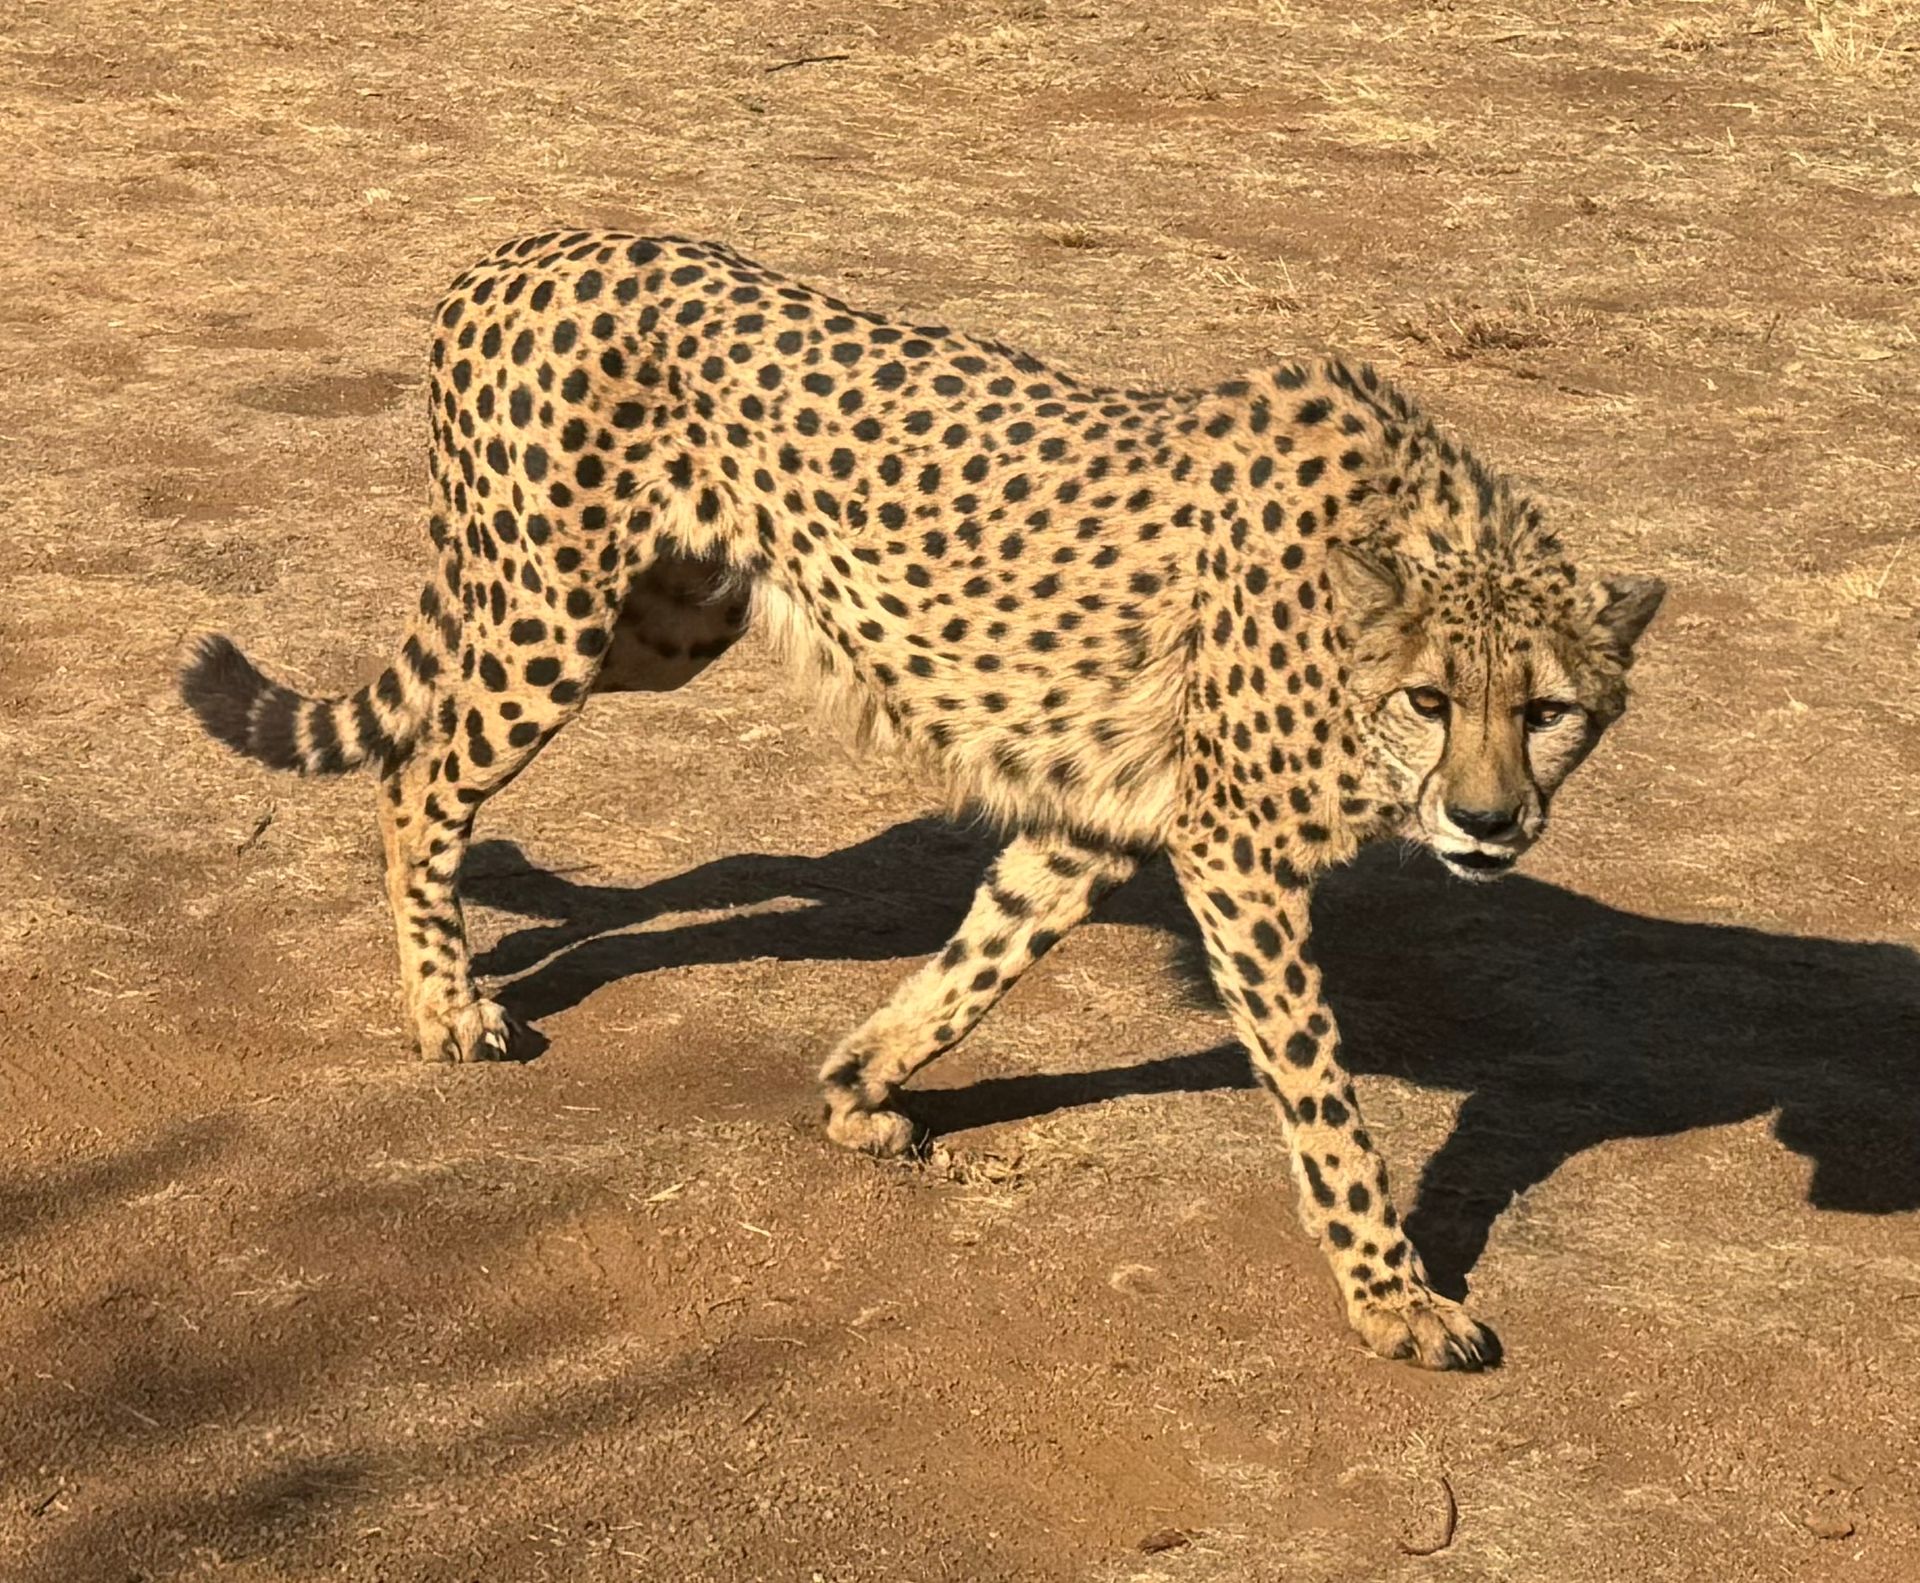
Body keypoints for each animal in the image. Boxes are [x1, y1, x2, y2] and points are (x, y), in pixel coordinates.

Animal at [181, 229, 1665, 1371]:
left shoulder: (1095, 816)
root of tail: (523, 249)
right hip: (554, 617)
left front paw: (859, 1083)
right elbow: (1321, 1095)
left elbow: (979, 960)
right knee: (420, 769)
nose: (1489, 823)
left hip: (660, 624)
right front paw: (1396, 1297)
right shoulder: (1235, 851)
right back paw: (447, 1003)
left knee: (475, 763)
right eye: (1431, 700)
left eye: (1548, 712)